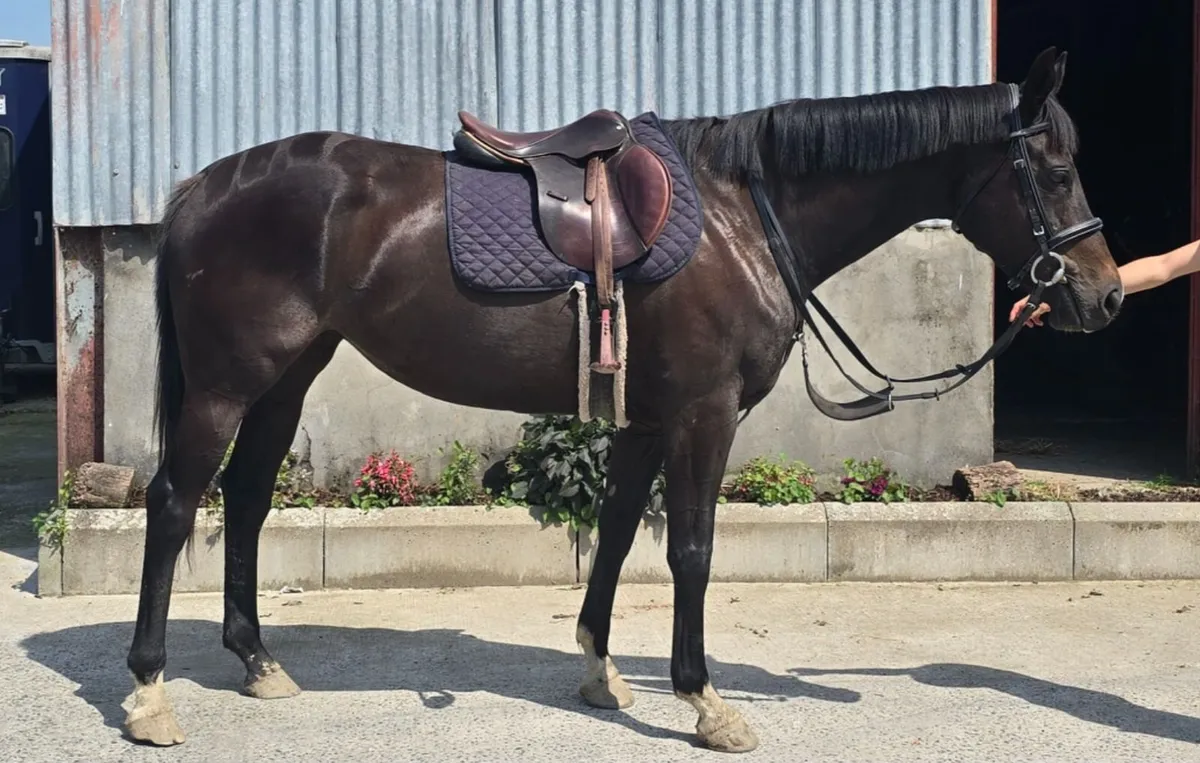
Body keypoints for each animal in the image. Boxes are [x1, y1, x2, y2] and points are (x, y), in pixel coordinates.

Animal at [121, 47, 1121, 752]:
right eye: (1054, 170)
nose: (1106, 296)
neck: (743, 216)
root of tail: (201, 186)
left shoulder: (648, 419)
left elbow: (612, 534)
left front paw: (602, 672)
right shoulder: (704, 414)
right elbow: (690, 551)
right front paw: (708, 700)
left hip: (287, 378)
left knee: (247, 499)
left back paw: (258, 662)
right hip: (226, 384)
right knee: (174, 505)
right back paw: (148, 693)